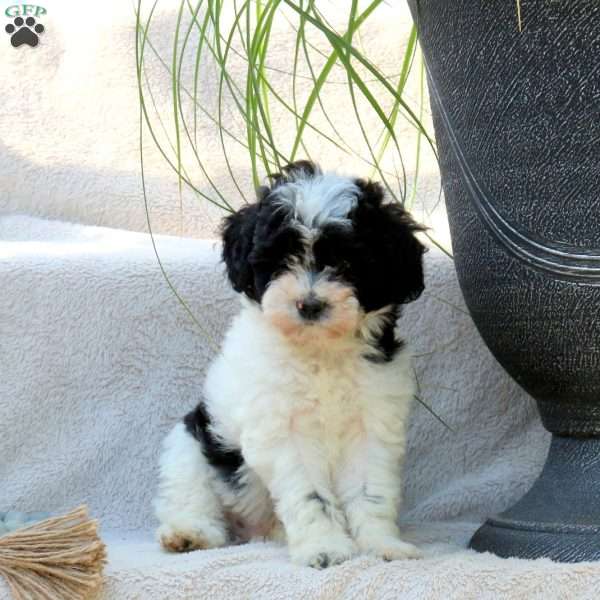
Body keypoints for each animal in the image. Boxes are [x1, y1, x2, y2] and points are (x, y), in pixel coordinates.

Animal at [155, 162, 426, 568]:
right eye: (282, 261)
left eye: (347, 263)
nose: (309, 304)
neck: (319, 350)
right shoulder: (284, 430)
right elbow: (310, 494)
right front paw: (324, 547)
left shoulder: (372, 421)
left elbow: (370, 490)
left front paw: (382, 545)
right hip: (192, 440)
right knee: (190, 492)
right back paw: (190, 533)